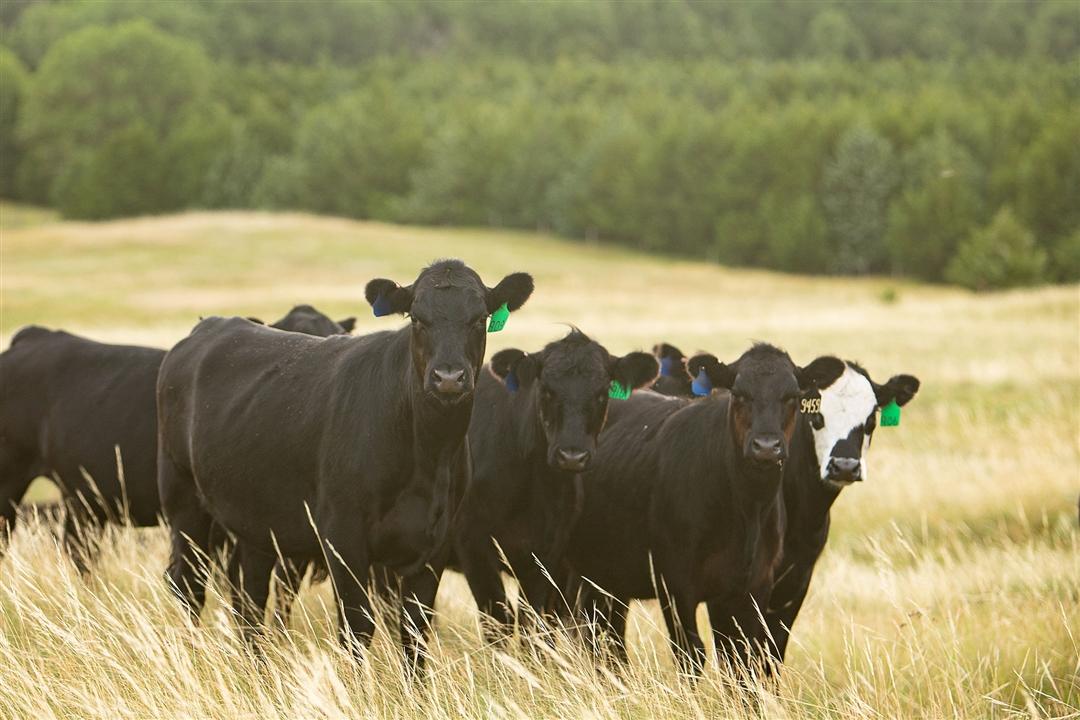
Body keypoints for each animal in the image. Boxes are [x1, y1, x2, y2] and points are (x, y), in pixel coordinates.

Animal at [156, 260, 533, 672]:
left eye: (479, 319)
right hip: (184, 499)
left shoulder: (436, 542)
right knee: (189, 585)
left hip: (257, 520)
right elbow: (357, 627)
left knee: (249, 596)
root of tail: (210, 325)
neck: (427, 454)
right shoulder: (342, 535)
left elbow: (414, 633)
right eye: (417, 318)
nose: (448, 377)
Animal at [452, 330, 658, 642]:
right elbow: (498, 623)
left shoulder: (546, 554)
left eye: (602, 393)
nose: (572, 456)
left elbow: (532, 625)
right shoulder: (473, 544)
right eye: (547, 390)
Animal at [565, 343, 824, 677]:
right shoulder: (675, 584)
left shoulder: (751, 588)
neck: (745, 510)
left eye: (791, 395)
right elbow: (691, 655)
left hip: (606, 575)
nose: (766, 447)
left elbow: (742, 662)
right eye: (739, 393)